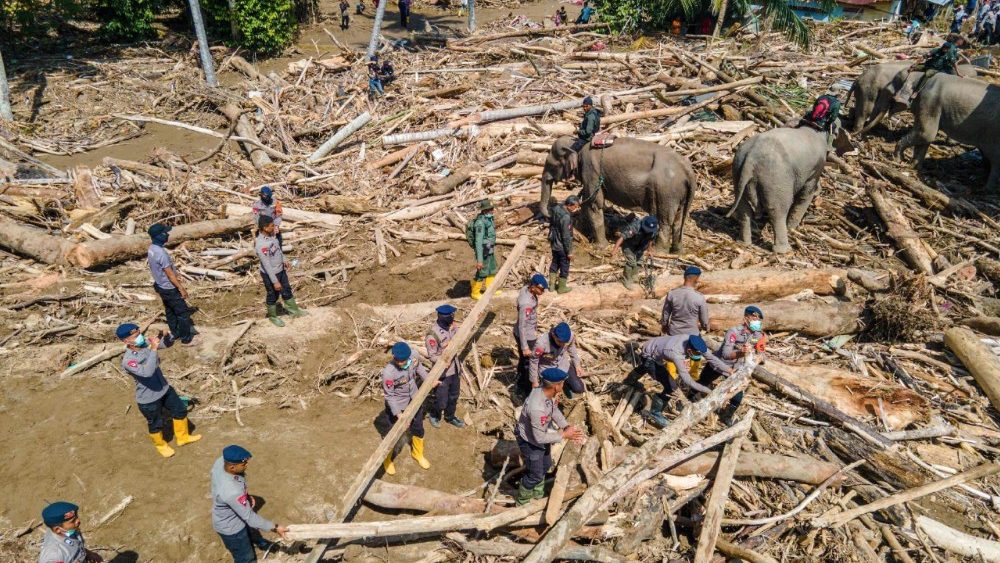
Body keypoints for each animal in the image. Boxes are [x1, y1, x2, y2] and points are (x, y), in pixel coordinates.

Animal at [539, 136, 697, 252]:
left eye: (551, 164)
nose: (549, 215)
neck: (578, 144)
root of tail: (688, 169)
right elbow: (587, 200)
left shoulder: (591, 169)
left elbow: (594, 204)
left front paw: (600, 246)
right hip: (679, 193)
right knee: (678, 219)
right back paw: (677, 250)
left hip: (666, 191)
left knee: (665, 220)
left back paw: (658, 251)